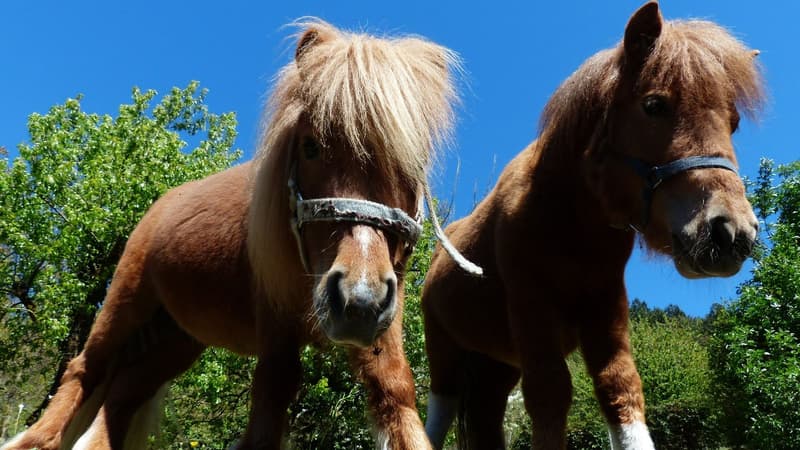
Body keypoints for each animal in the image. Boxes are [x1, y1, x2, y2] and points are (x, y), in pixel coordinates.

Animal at [3, 18, 460, 450]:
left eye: (412, 161)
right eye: (310, 146)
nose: (359, 300)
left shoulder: (383, 321)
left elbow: (395, 391)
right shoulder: (275, 321)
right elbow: (269, 404)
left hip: (176, 337)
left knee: (124, 393)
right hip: (127, 301)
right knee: (84, 370)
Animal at [422, 3, 764, 450]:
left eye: (733, 122)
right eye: (654, 105)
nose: (733, 231)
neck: (569, 222)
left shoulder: (606, 308)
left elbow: (620, 388)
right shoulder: (532, 308)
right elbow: (550, 396)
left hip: (495, 367)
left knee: (485, 419)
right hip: (443, 355)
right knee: (436, 417)